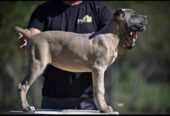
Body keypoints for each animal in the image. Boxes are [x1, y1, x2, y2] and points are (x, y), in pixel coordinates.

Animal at [14, 8, 147, 113]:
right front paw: (104, 109)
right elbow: (100, 89)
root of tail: (32, 36)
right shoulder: (98, 68)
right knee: (23, 86)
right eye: (133, 16)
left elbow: (97, 88)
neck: (112, 34)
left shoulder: (96, 70)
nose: (146, 17)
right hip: (37, 64)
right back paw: (26, 108)